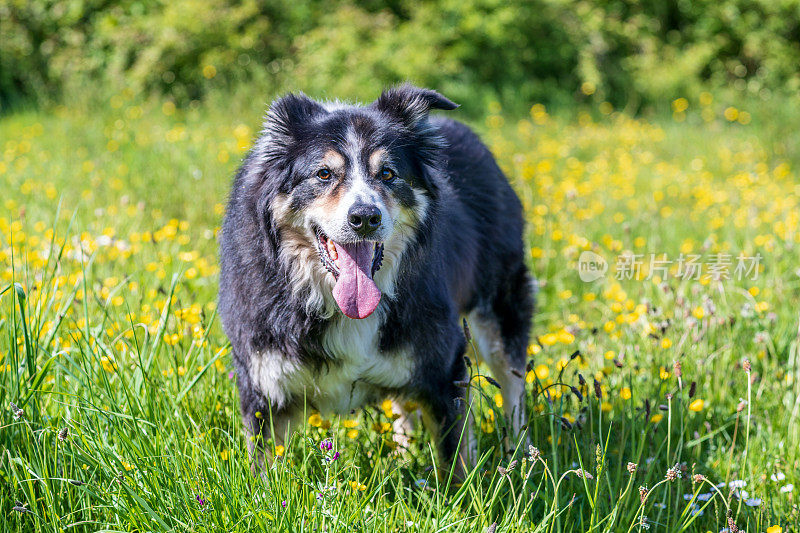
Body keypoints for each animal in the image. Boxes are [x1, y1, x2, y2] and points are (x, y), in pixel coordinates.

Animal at [216, 83, 536, 474]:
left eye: (387, 173)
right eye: (324, 174)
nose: (365, 217)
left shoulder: (444, 366)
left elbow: (455, 460)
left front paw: (459, 492)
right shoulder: (262, 382)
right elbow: (263, 469)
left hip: (500, 304)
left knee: (513, 387)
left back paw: (522, 458)